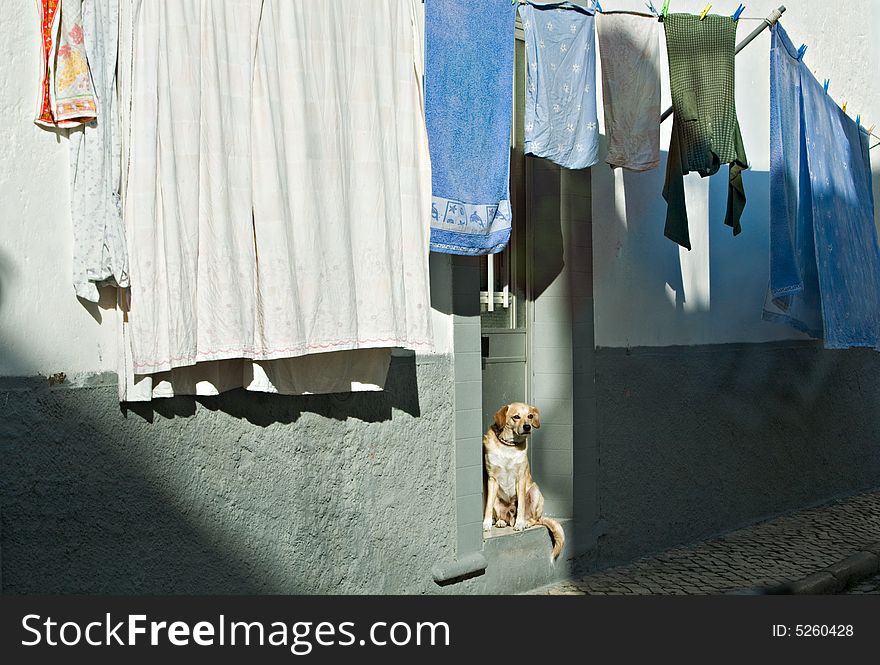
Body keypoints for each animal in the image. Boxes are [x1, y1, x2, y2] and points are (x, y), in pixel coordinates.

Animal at [482, 402, 564, 556]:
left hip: (535, 491)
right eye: (516, 417)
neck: (508, 446)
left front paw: (519, 524)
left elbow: (520, 506)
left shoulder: (520, 479)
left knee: (533, 519)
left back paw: (524, 522)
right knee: (503, 516)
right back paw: (501, 521)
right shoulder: (492, 479)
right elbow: (488, 506)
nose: (527, 427)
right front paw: (486, 524)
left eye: (530, 416)